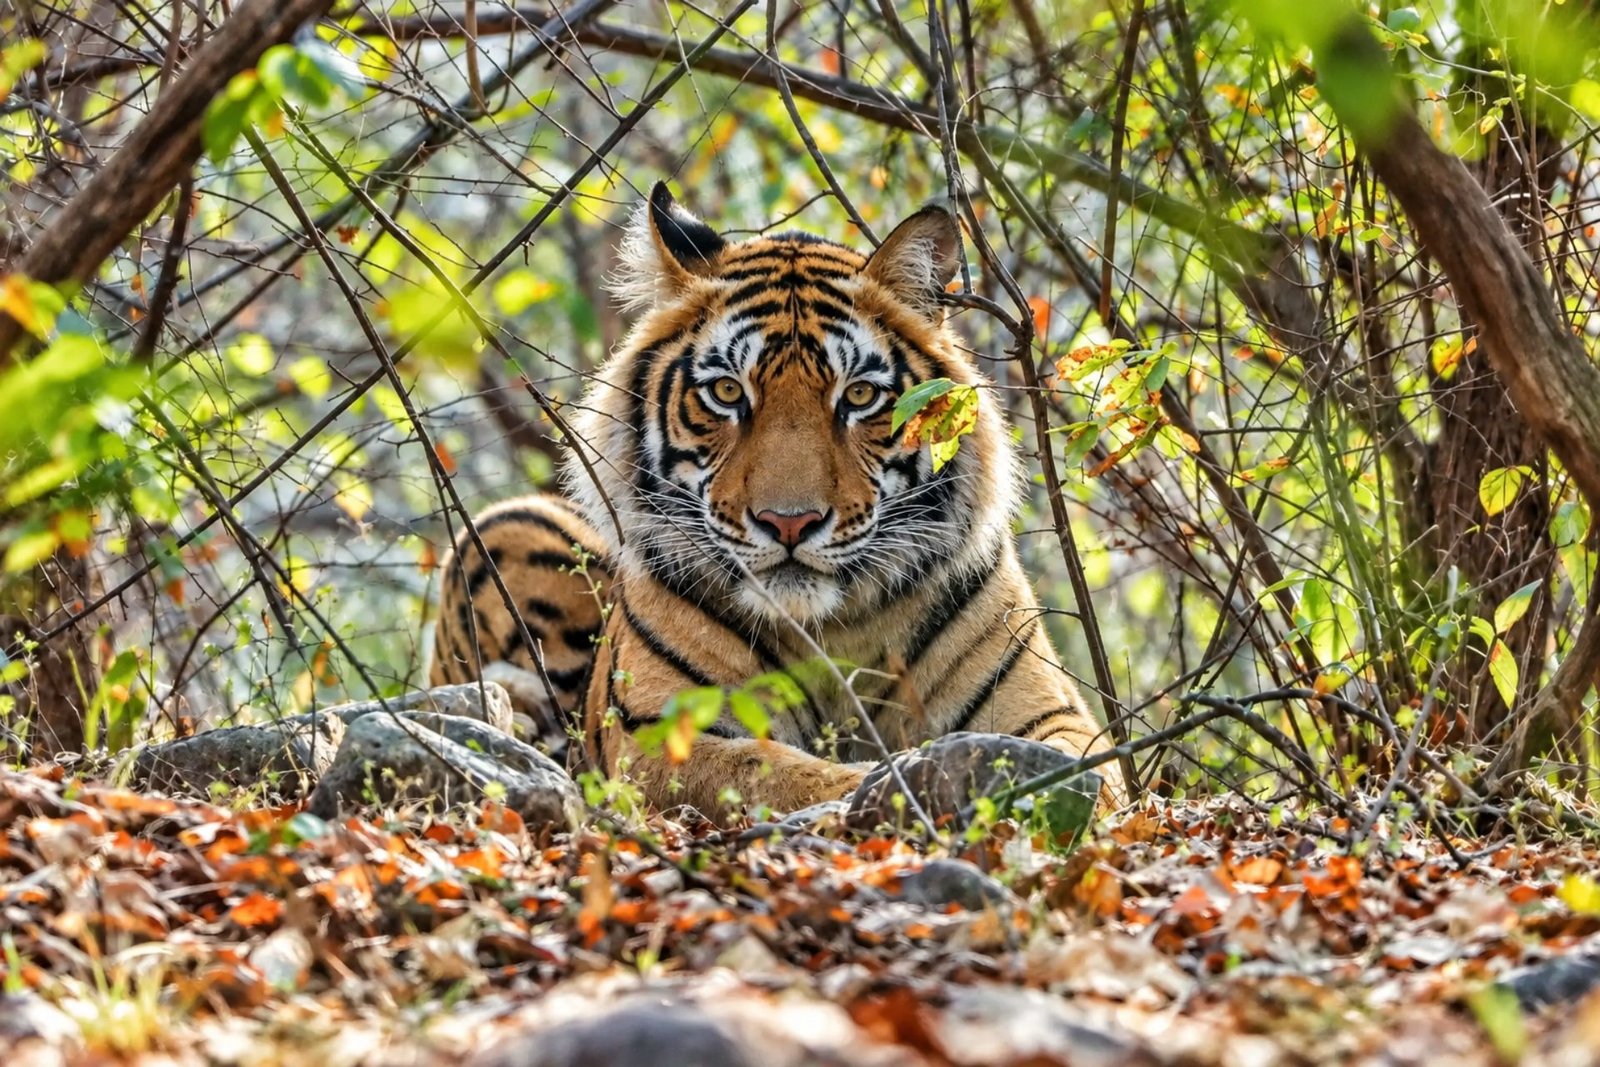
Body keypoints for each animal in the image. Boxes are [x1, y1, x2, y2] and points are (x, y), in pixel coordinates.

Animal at [429, 181, 1119, 819]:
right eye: (728, 392)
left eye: (860, 395)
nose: (790, 523)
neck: (838, 630)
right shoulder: (657, 734)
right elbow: (783, 775)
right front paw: (889, 788)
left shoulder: (1050, 716)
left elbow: (1076, 771)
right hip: (502, 526)